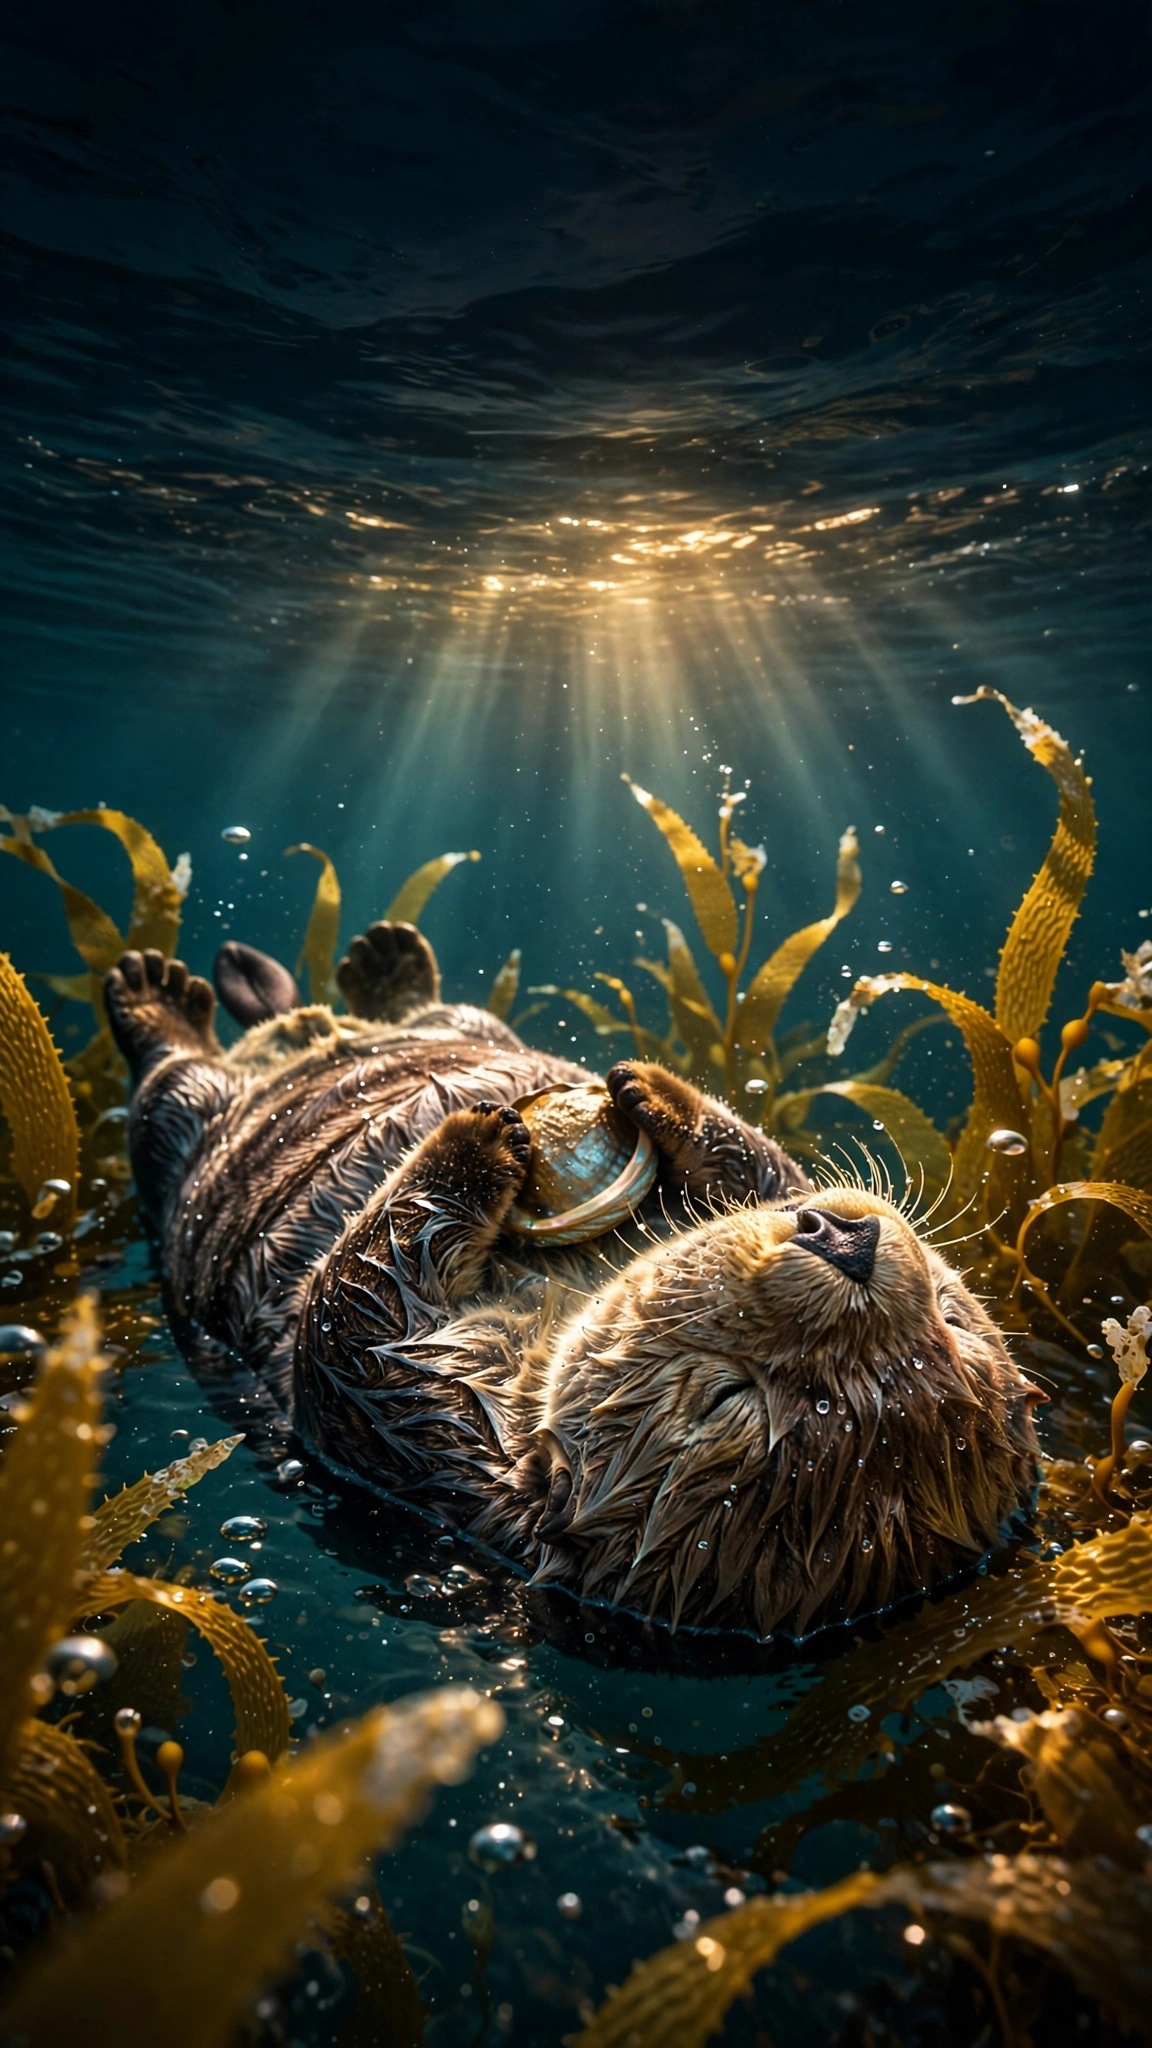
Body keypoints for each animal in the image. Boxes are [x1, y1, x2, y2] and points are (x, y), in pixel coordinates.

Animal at [105, 920, 1041, 1640]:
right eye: (955, 1323)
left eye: (729, 1396)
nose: (846, 1240)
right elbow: (767, 1165)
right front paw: (656, 1093)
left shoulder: (421, 1434)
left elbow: (347, 1314)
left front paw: (476, 1140)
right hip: (460, 1021)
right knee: (425, 1008)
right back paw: (384, 958)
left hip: (185, 1133)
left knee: (169, 1082)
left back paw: (156, 988)